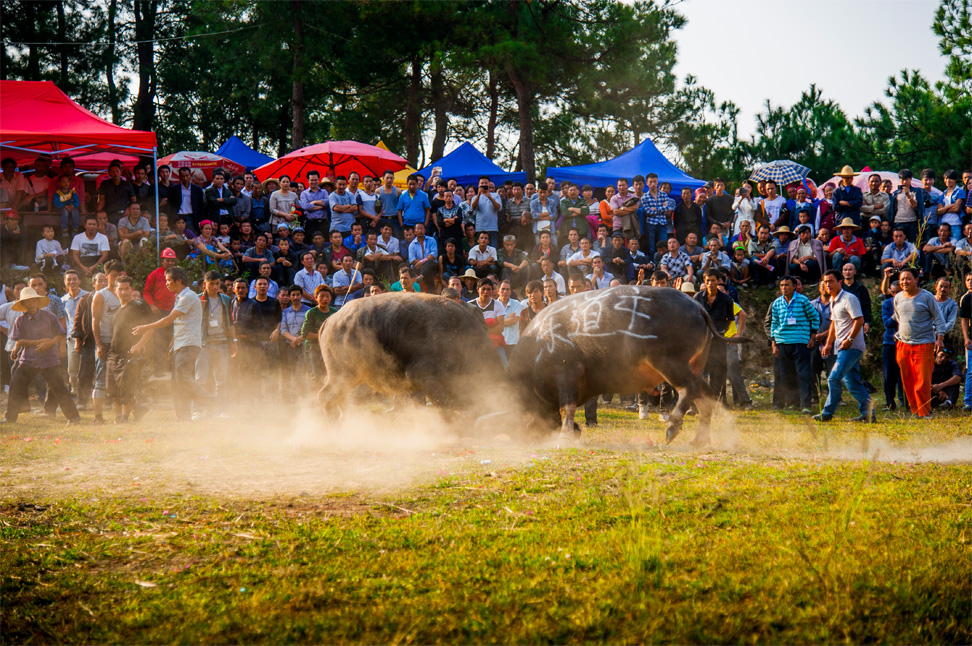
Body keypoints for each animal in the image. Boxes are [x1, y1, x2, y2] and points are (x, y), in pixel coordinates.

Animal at [318, 292, 504, 422]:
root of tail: (331, 320)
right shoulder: (423, 375)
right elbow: (444, 403)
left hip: (348, 376)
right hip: (343, 374)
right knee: (326, 396)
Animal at [508, 286, 736, 448]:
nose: (523, 439)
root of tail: (697, 307)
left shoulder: (567, 374)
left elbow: (567, 408)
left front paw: (564, 438)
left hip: (669, 362)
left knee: (689, 388)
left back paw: (672, 428)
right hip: (695, 366)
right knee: (706, 397)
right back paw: (699, 440)